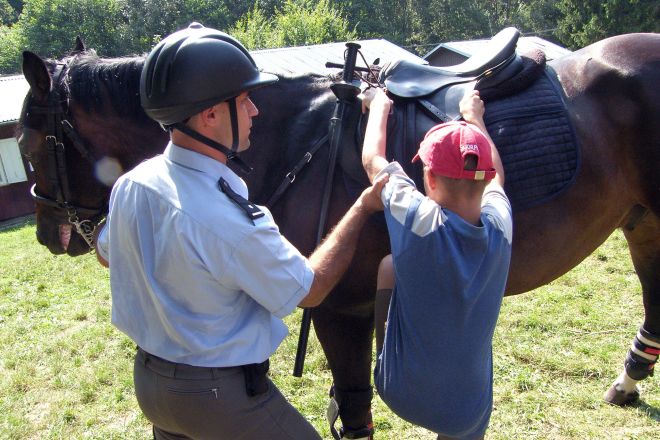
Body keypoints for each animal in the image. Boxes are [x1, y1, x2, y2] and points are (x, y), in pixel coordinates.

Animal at [16, 32, 660, 434]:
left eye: (26, 143)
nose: (49, 232)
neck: (293, 138)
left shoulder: (338, 310)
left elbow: (353, 413)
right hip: (643, 222)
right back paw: (629, 379)